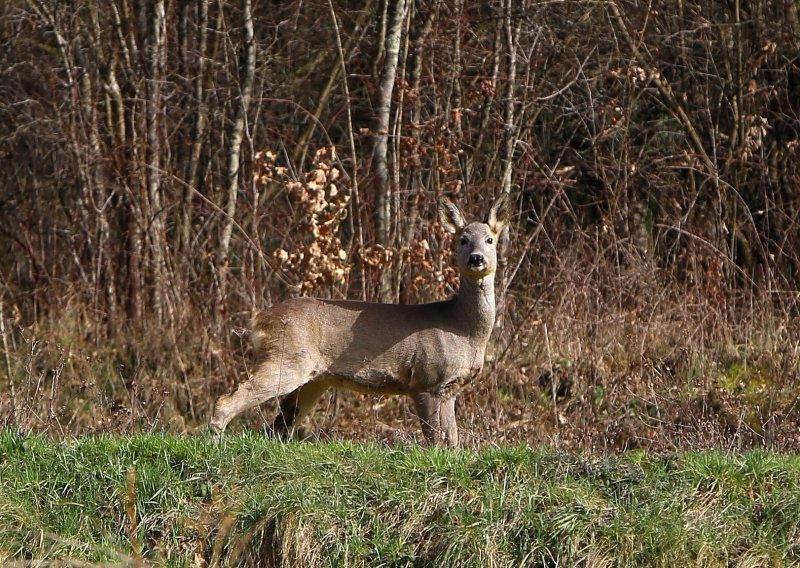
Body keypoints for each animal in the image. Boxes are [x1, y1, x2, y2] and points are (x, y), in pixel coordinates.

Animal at [211, 193, 512, 446]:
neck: (462, 329)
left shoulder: (449, 389)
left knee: (279, 424)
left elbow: (453, 442)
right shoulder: (425, 380)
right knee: (229, 400)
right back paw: (215, 442)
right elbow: (435, 440)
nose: (476, 258)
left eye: (490, 240)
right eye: (463, 239)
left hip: (314, 378)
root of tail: (259, 319)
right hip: (286, 357)